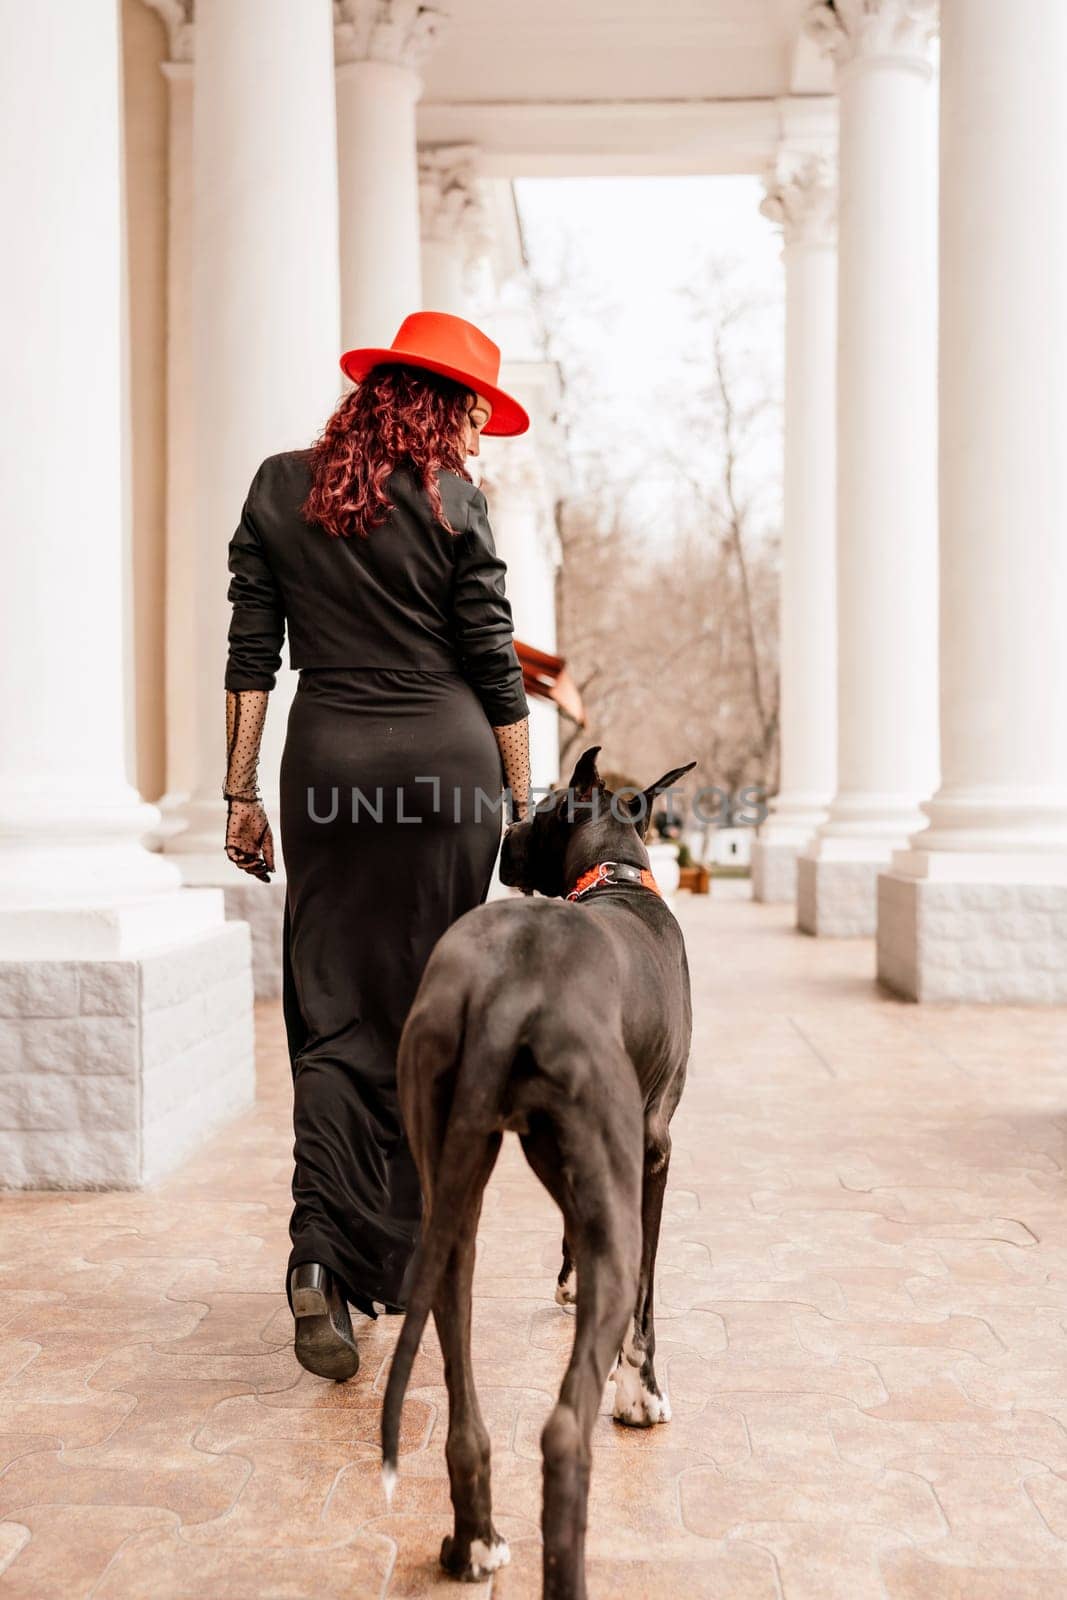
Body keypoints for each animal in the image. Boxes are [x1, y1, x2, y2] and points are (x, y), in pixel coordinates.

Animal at [379, 748, 697, 1600]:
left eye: (542, 809)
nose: (504, 837)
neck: (615, 874)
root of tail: (508, 988)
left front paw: (563, 1279)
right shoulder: (652, 1152)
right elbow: (648, 1297)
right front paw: (640, 1394)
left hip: (450, 1203)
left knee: (462, 1395)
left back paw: (473, 1541)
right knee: (562, 1433)